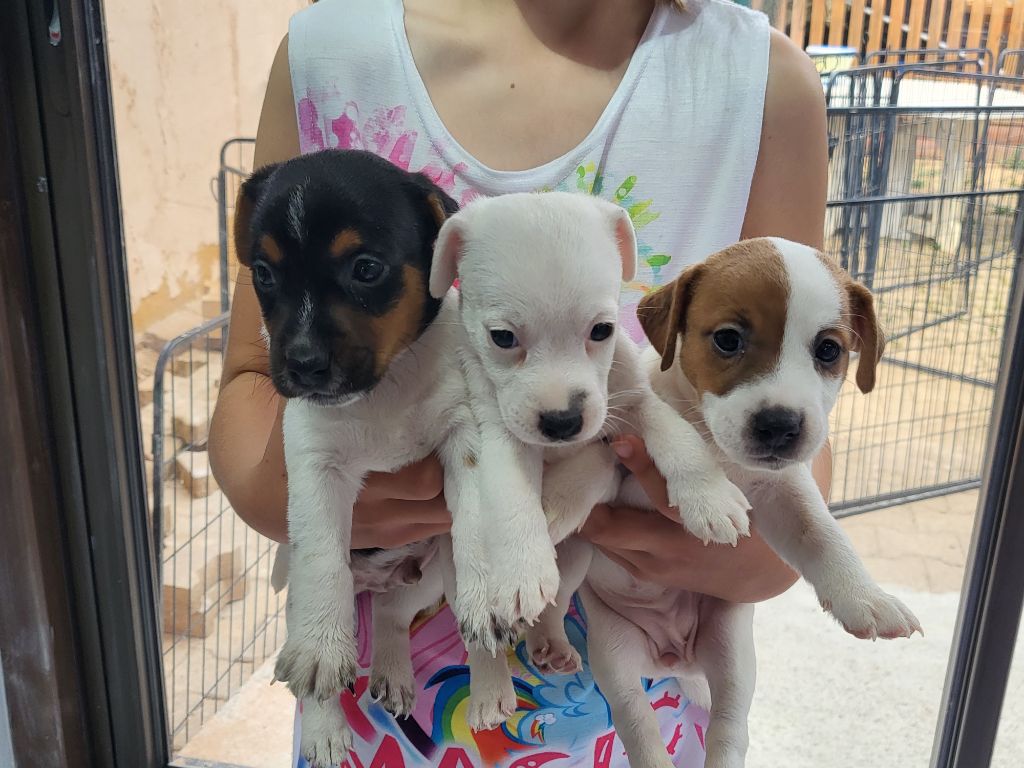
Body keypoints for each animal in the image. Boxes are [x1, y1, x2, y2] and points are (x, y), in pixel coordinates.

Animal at [528, 237, 921, 768]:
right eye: (728, 340)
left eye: (829, 350)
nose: (780, 425)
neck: (714, 444)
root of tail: (674, 657)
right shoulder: (623, 436)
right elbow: (598, 457)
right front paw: (560, 500)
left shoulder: (783, 491)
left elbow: (822, 534)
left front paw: (867, 599)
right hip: (614, 658)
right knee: (638, 726)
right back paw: (551, 642)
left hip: (731, 650)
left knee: (729, 728)